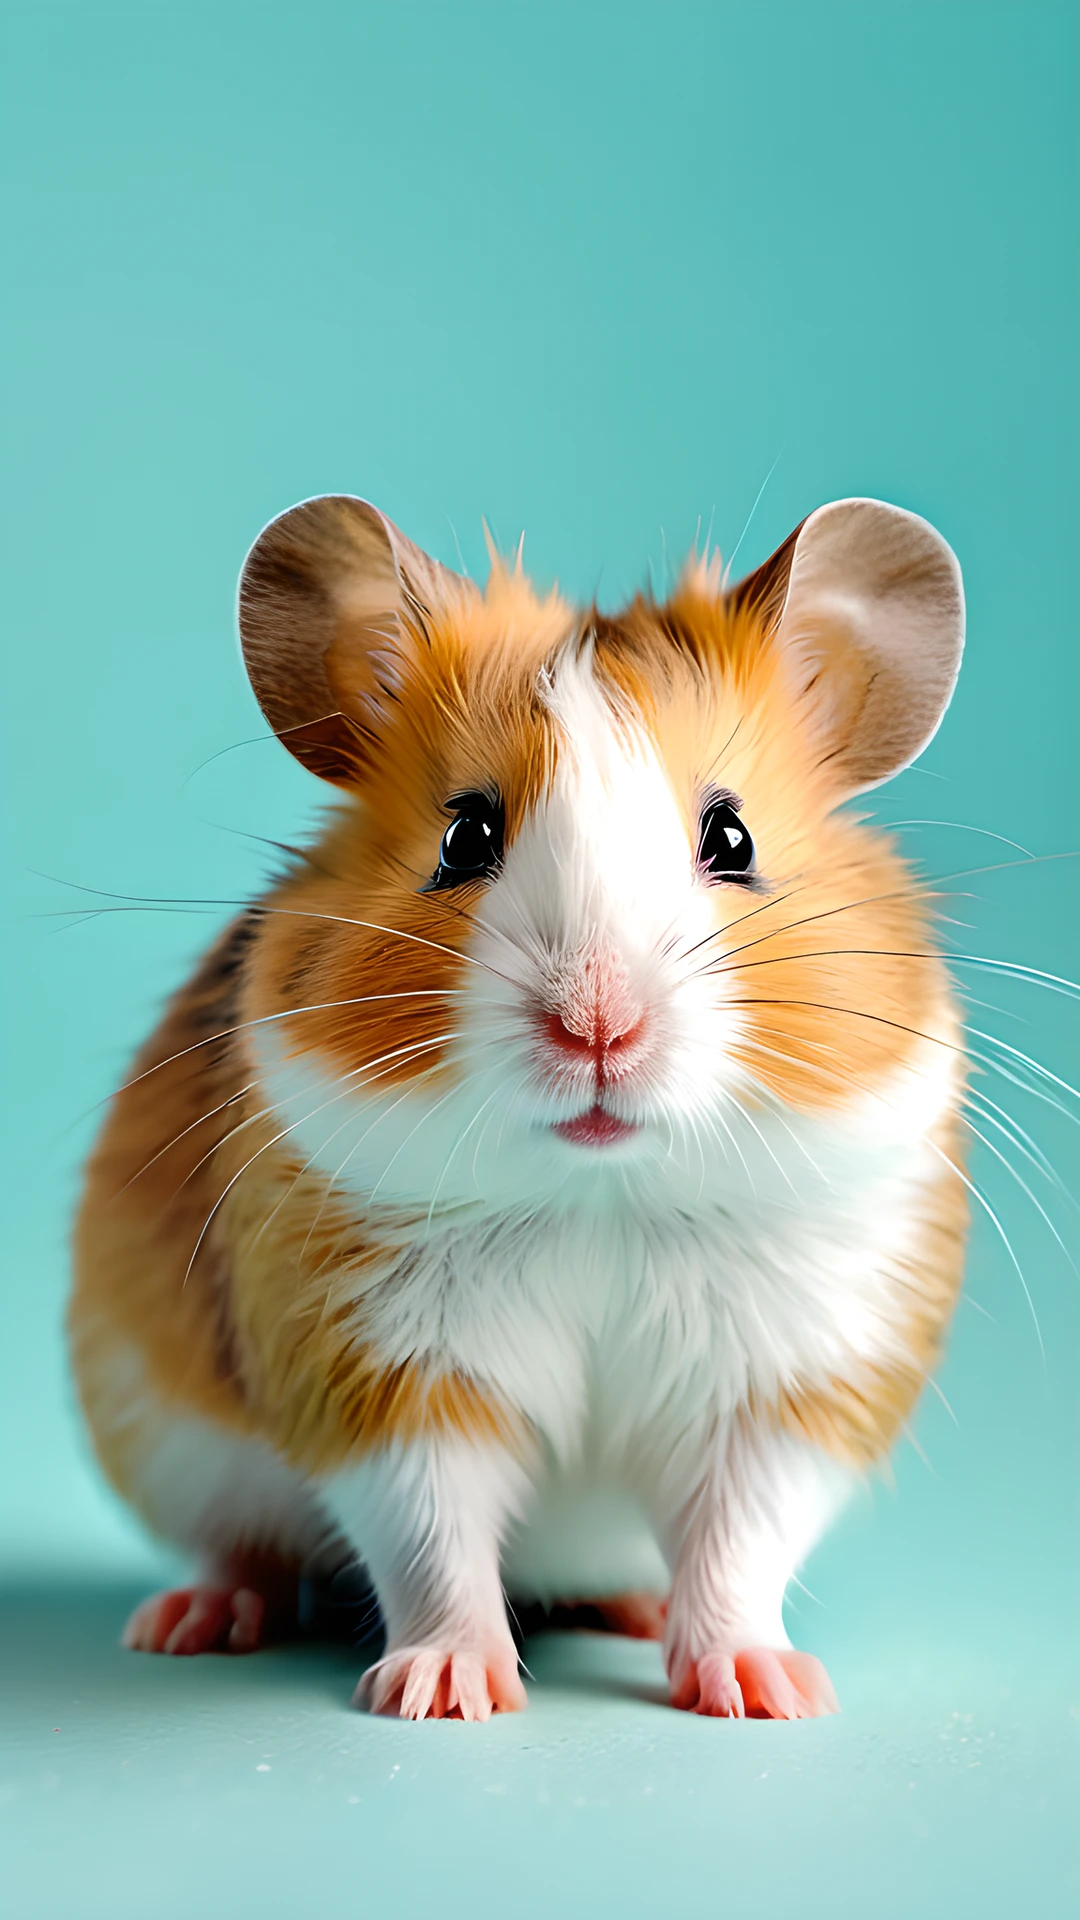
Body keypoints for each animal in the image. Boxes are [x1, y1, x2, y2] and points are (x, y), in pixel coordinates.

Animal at [70, 492, 967, 1720]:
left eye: (732, 839)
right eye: (465, 837)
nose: (598, 1028)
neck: (602, 1196)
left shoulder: (789, 1382)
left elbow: (740, 1542)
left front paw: (766, 1692)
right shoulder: (382, 1371)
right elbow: (430, 1536)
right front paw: (446, 1695)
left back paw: (638, 1615)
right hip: (168, 1435)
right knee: (238, 1546)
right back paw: (188, 1624)